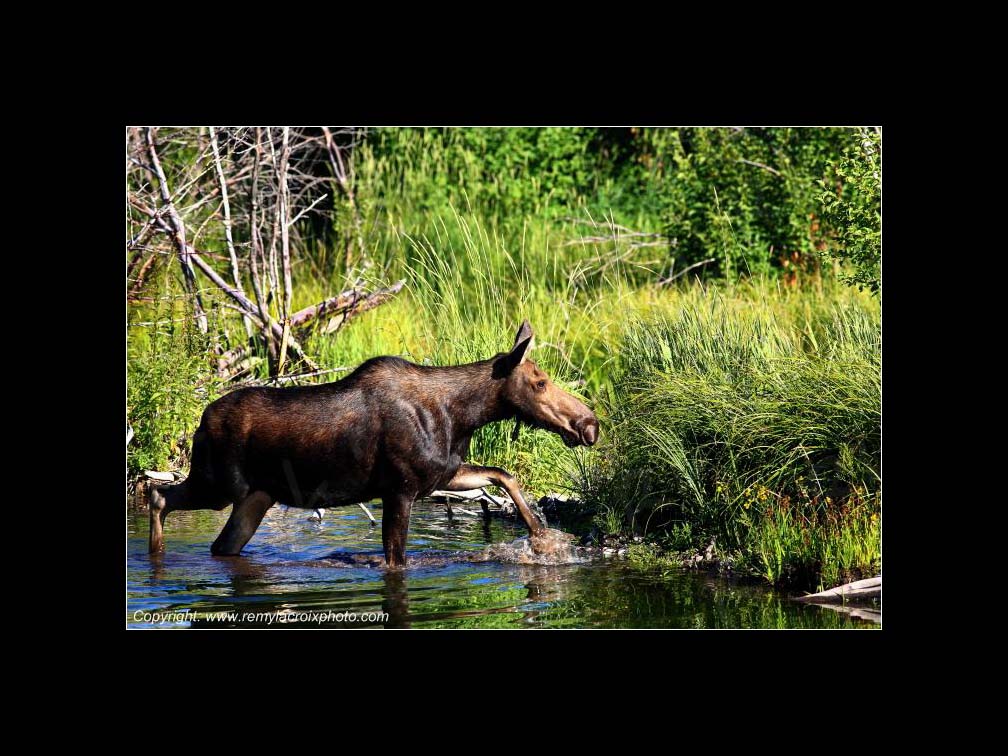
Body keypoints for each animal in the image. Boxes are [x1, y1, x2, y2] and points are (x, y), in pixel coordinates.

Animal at [147, 320, 599, 568]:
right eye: (539, 382)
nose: (589, 423)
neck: (461, 417)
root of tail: (201, 420)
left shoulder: (442, 474)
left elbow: (504, 475)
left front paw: (542, 536)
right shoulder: (399, 488)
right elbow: (396, 560)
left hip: (255, 497)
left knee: (221, 544)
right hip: (218, 484)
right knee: (159, 495)